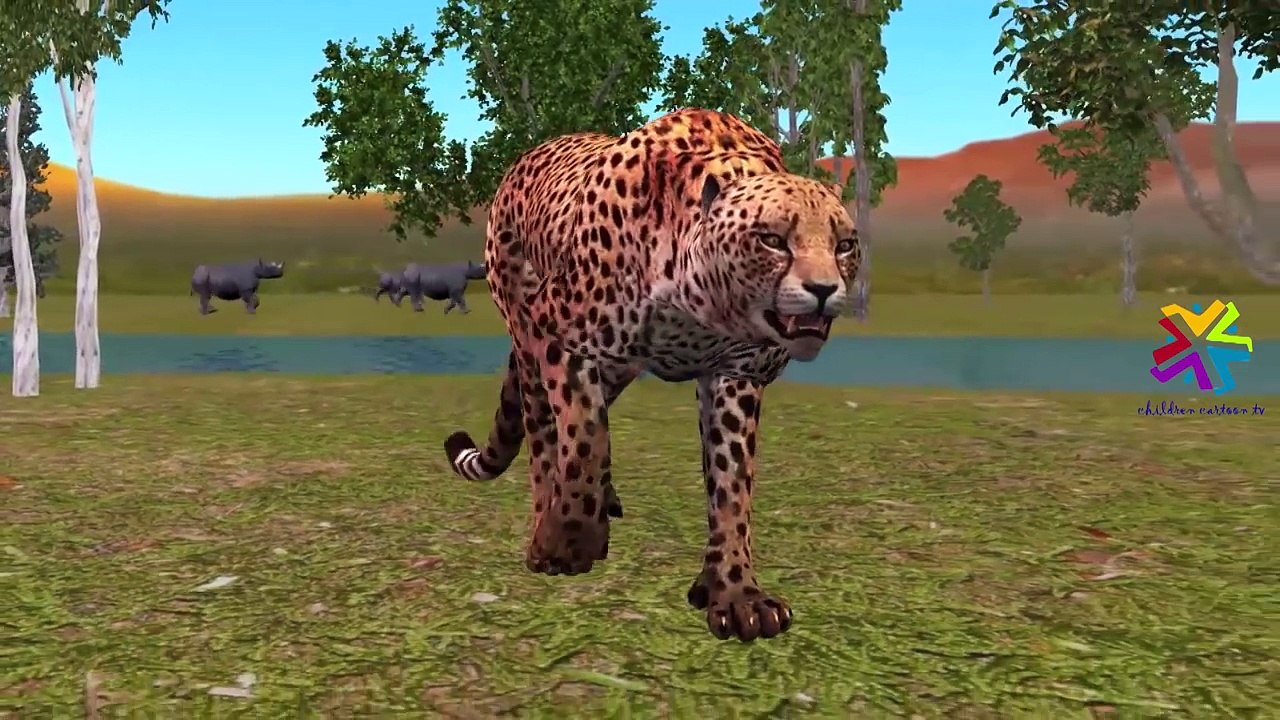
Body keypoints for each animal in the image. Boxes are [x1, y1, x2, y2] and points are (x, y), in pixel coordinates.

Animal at [442, 108, 860, 642]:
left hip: (614, 366)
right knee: (543, 438)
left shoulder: (736, 372)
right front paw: (569, 544)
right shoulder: (559, 338)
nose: (824, 290)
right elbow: (583, 440)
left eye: (844, 246)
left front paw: (736, 594)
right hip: (527, 336)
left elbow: (731, 487)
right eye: (772, 240)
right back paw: (547, 522)